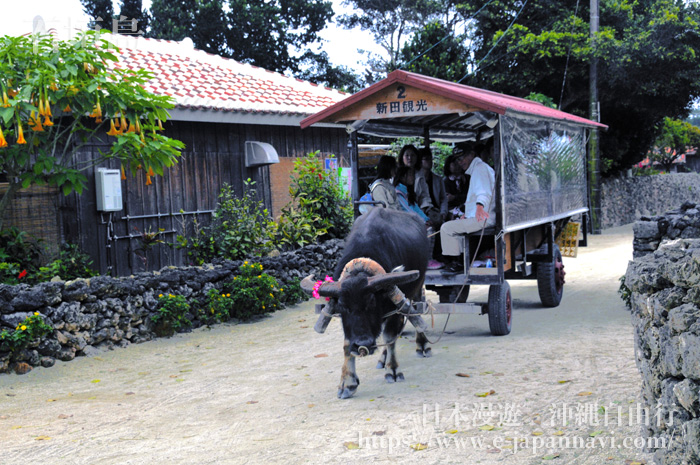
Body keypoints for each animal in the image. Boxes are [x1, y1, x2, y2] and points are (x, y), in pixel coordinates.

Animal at [302, 208, 432, 398]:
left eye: (371, 302)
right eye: (342, 306)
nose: (362, 344)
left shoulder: (394, 308)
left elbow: (390, 336)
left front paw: (393, 370)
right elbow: (347, 344)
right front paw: (347, 382)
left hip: (417, 287)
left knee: (416, 310)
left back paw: (422, 345)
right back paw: (382, 358)